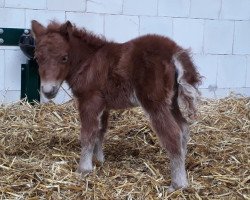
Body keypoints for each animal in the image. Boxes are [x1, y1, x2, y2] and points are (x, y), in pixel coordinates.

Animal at [32, 20, 202, 192]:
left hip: (155, 103)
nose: (48, 91)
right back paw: (183, 165)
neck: (88, 61)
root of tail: (174, 51)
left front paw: (84, 169)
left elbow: (88, 133)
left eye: (64, 58)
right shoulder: (103, 104)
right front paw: (98, 160)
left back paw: (178, 184)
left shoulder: (89, 100)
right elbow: (100, 131)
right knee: (183, 128)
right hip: (171, 101)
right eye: (37, 58)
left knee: (173, 134)